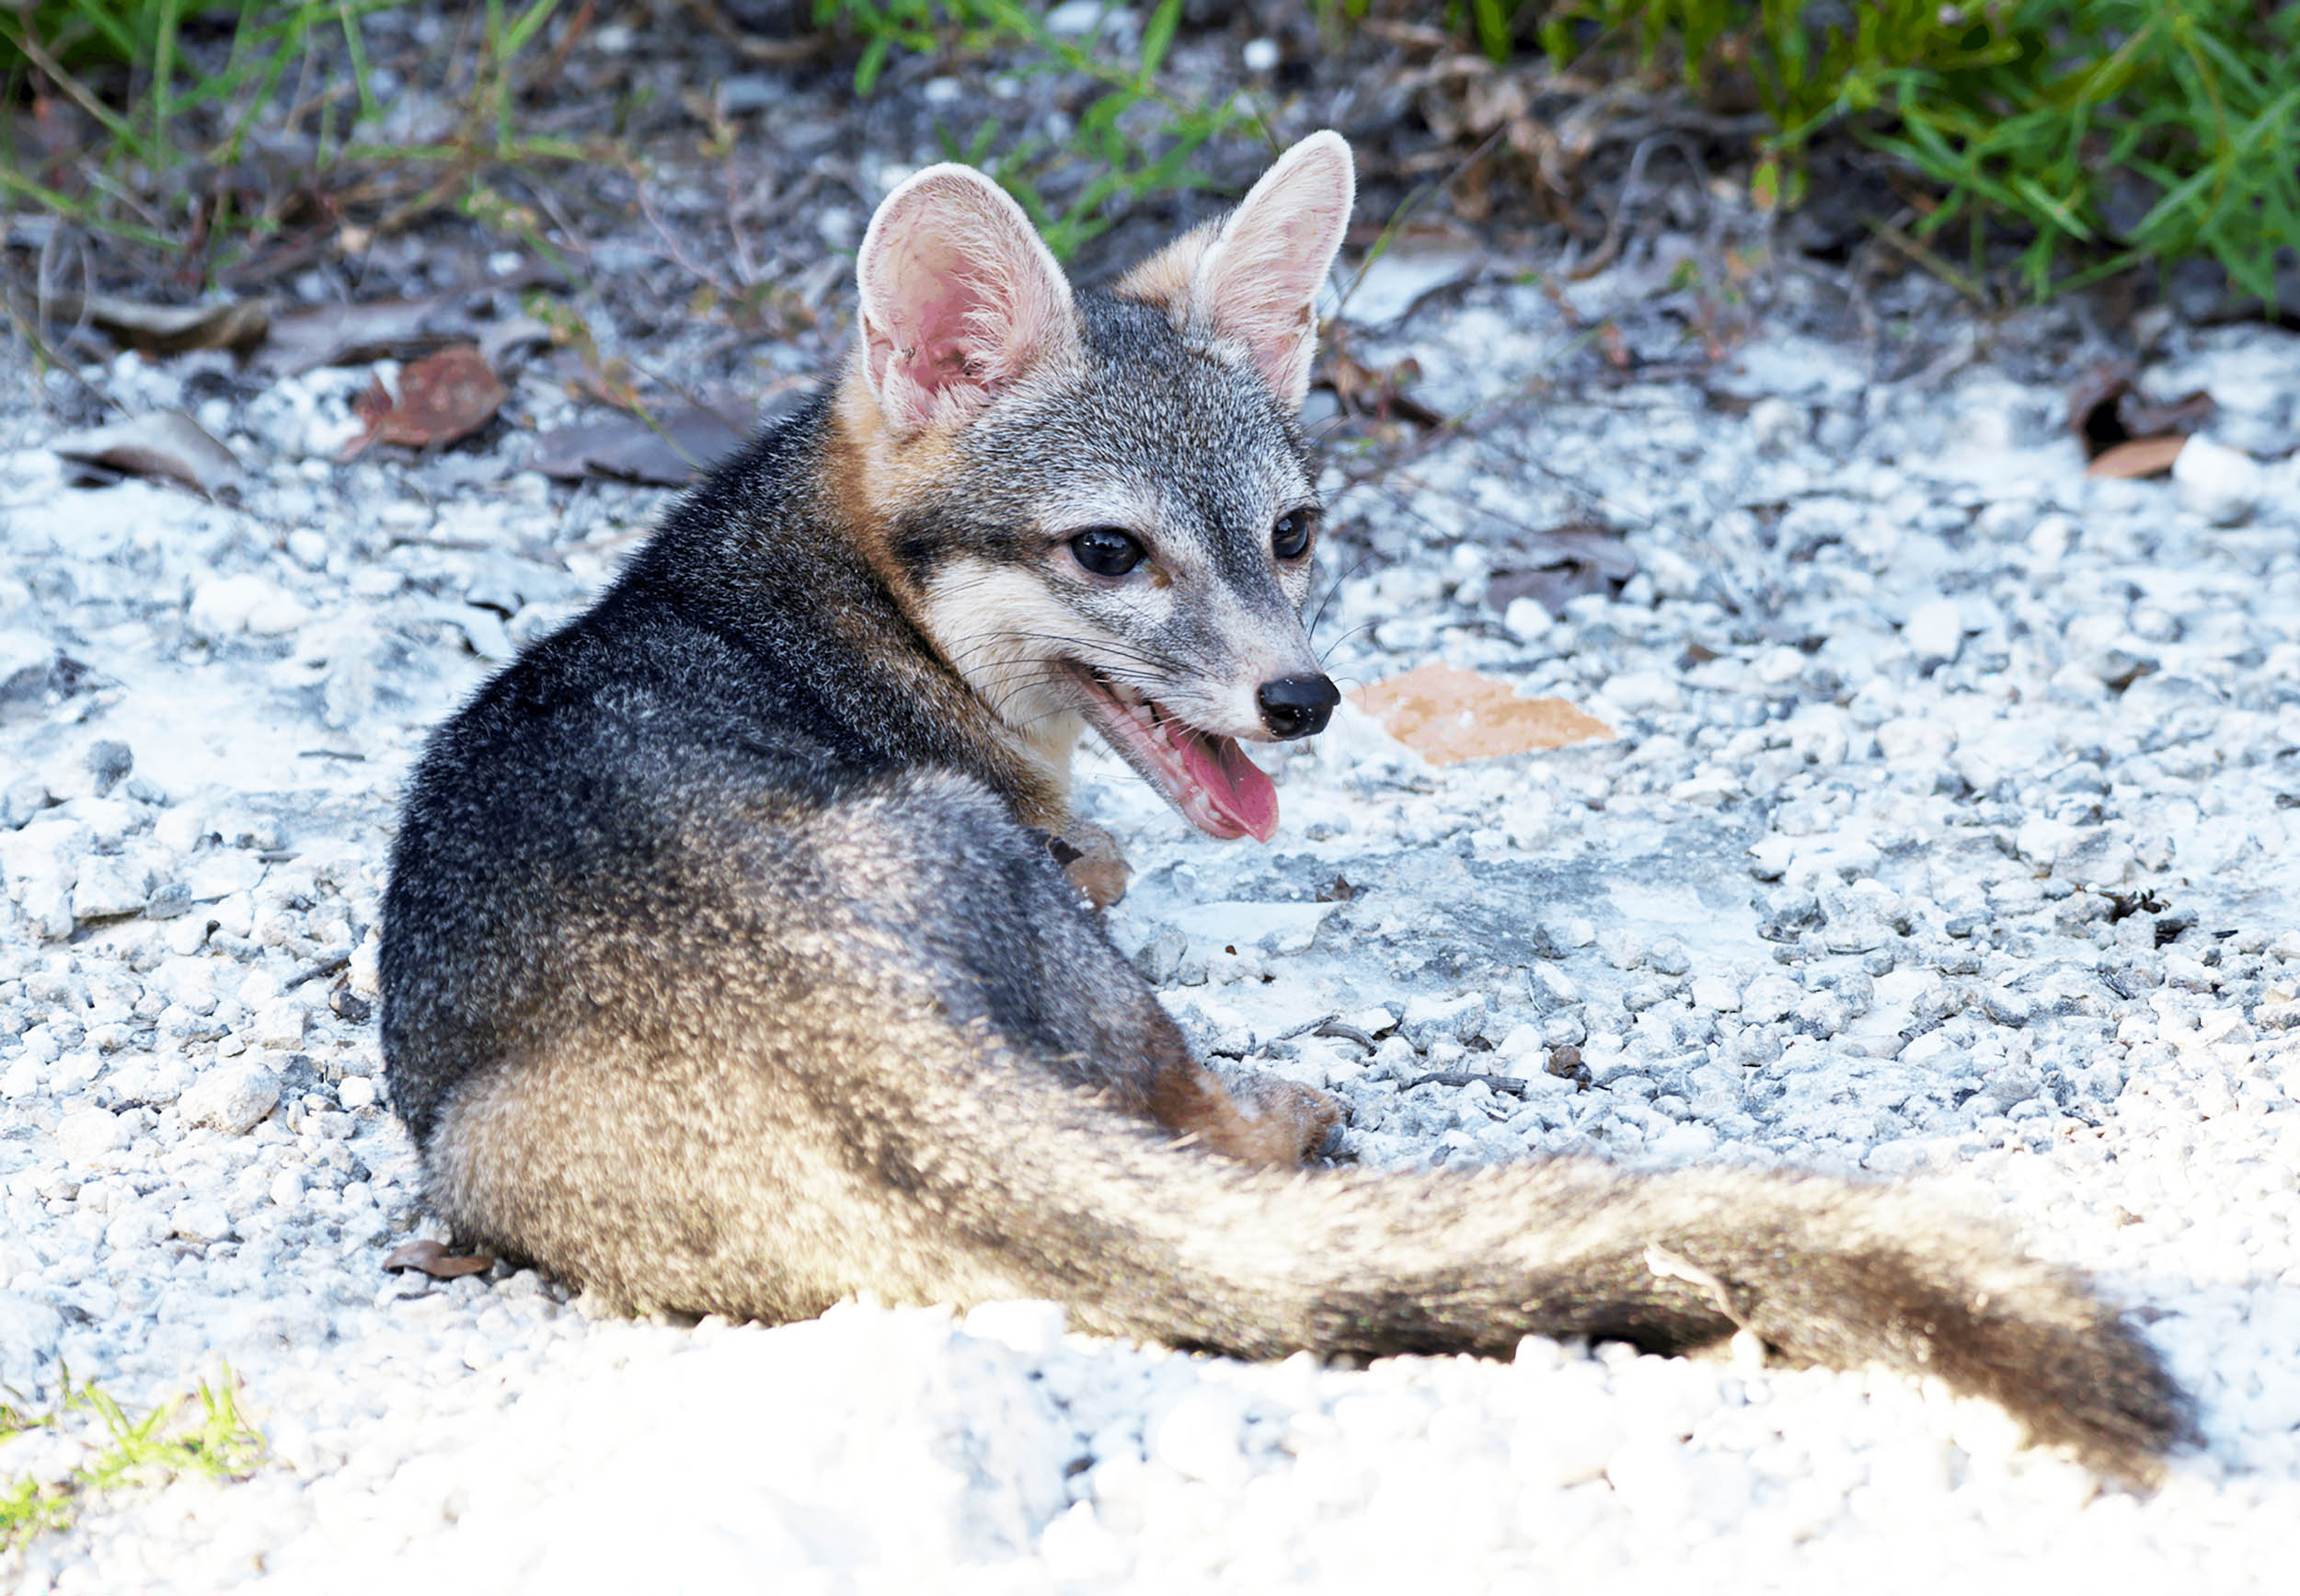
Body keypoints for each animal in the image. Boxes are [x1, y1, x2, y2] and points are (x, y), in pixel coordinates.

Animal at [379, 131, 2190, 1482]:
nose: (1301, 699)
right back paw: (1286, 1112)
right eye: (1111, 551)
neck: (818, 597)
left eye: (1295, 532)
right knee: (1188, 1108)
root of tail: (837, 1029)